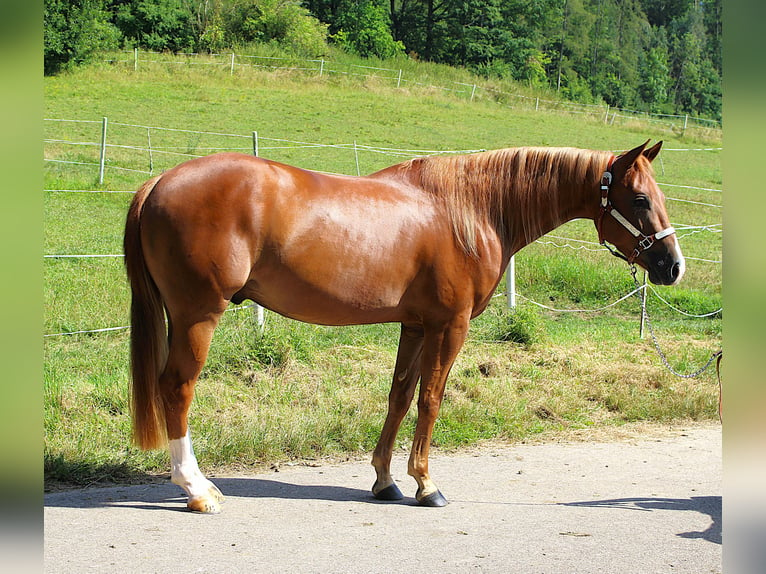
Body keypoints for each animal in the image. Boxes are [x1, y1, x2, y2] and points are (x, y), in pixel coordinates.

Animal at [124, 140, 684, 512]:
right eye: (639, 199)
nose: (673, 266)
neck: (472, 210)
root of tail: (159, 182)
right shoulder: (449, 326)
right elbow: (431, 399)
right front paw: (426, 484)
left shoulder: (414, 326)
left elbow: (398, 396)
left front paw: (384, 481)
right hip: (199, 316)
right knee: (177, 389)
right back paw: (197, 489)